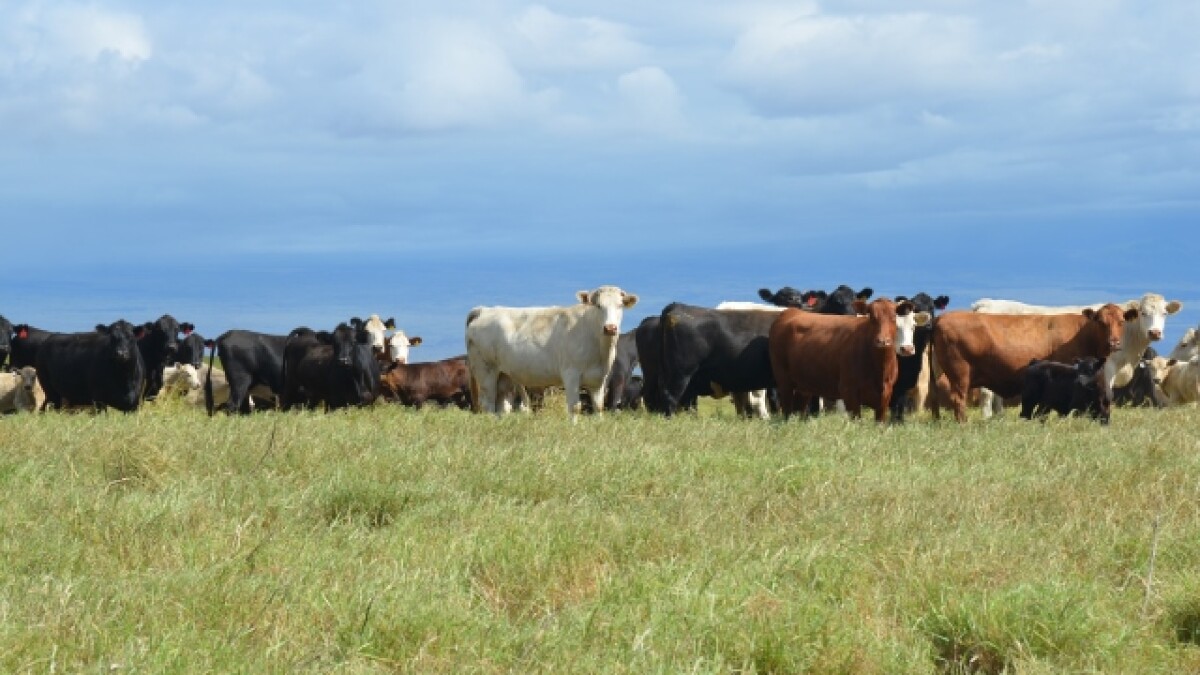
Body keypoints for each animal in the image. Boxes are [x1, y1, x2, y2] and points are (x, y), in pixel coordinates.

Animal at [466, 285, 638, 419]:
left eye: (620, 305)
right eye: (598, 306)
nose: (610, 328)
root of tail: (484, 310)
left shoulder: (599, 378)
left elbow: (599, 407)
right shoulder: (571, 373)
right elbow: (574, 407)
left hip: (504, 374)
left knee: (501, 404)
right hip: (485, 370)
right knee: (487, 403)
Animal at [769, 298, 929, 422]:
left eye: (893, 318)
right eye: (871, 317)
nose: (883, 341)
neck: (878, 368)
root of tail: (791, 312)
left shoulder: (886, 394)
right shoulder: (849, 392)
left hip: (804, 386)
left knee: (799, 410)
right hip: (784, 380)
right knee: (786, 410)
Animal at [931, 304, 1127, 422]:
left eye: (1121, 322)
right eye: (1101, 322)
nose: (1114, 343)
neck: (1083, 333)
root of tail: (941, 318)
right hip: (960, 374)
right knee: (958, 398)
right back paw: (963, 424)